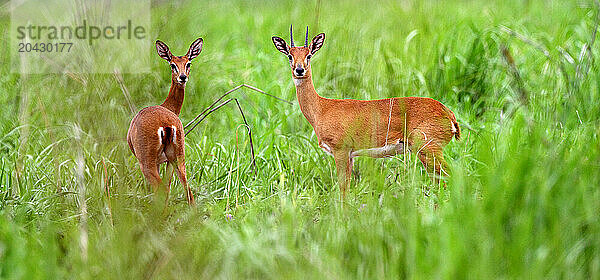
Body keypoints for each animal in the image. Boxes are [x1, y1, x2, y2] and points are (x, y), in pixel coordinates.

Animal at [126, 37, 204, 205]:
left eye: (188, 63)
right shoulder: (168, 161)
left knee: (160, 189)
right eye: (172, 64)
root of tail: (166, 125)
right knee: (186, 190)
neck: (167, 106)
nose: (183, 77)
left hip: (147, 160)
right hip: (178, 155)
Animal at [272, 26, 460, 197]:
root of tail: (448, 113)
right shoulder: (350, 155)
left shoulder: (341, 150)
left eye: (309, 55)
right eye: (290, 55)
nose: (299, 70)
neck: (321, 109)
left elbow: (343, 189)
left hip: (428, 149)